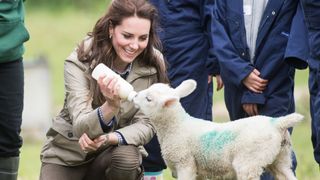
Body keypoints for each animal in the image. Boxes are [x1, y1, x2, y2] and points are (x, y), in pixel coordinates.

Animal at [132, 79, 302, 179]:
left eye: (149, 99)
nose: (134, 96)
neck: (176, 127)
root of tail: (277, 123)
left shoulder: (185, 163)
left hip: (249, 162)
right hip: (281, 159)